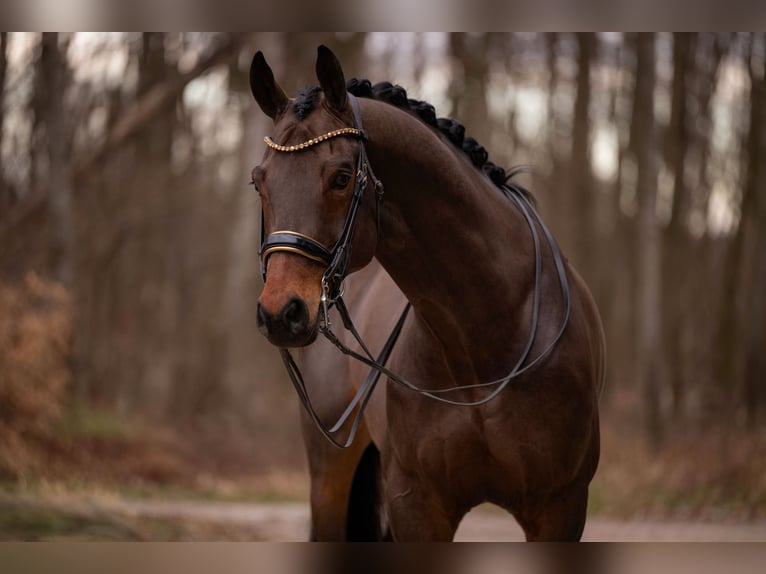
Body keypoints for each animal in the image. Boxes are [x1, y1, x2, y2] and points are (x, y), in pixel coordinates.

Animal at [249, 45, 605, 541]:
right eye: (259, 181)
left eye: (341, 177)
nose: (281, 313)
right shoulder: (416, 504)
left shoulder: (561, 507)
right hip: (329, 480)